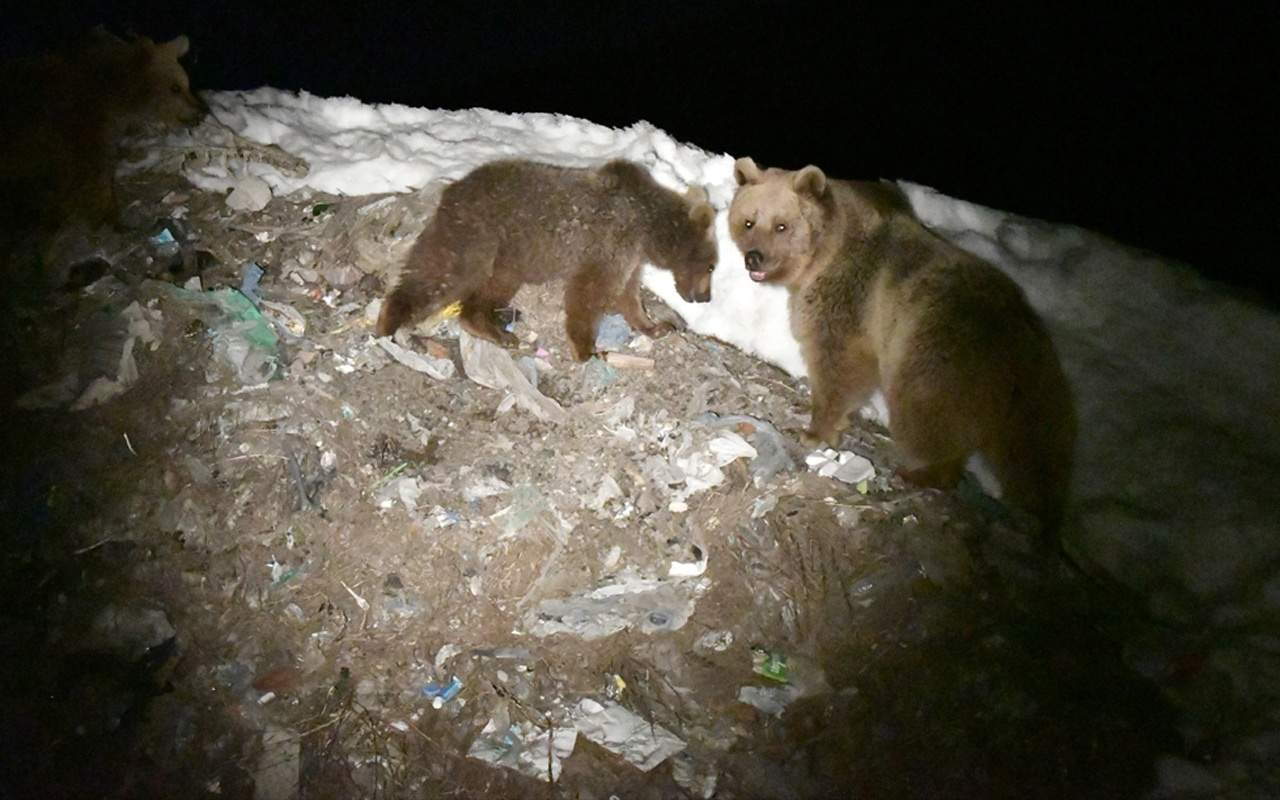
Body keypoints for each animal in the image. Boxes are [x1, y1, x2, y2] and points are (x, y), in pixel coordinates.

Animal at [1, 27, 207, 290]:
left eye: (186, 83)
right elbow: (97, 184)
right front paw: (117, 224)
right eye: (175, 88)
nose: (200, 113)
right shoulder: (80, 137)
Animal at [378, 159, 721, 358]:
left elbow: (627, 295)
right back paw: (389, 322)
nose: (706, 297)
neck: (649, 228)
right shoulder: (609, 243)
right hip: (476, 238)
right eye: (712, 265)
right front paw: (587, 350)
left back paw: (493, 330)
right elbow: (589, 292)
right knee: (441, 275)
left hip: (505, 255)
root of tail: (451, 192)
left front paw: (655, 326)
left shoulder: (629, 257)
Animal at [727, 155, 1075, 529]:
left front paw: (816, 430)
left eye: (781, 225)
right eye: (748, 221)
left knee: (924, 419)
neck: (824, 253)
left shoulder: (849, 296)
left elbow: (838, 363)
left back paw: (921, 472)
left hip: (938, 358)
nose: (755, 257)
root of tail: (1022, 340)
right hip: (1033, 395)